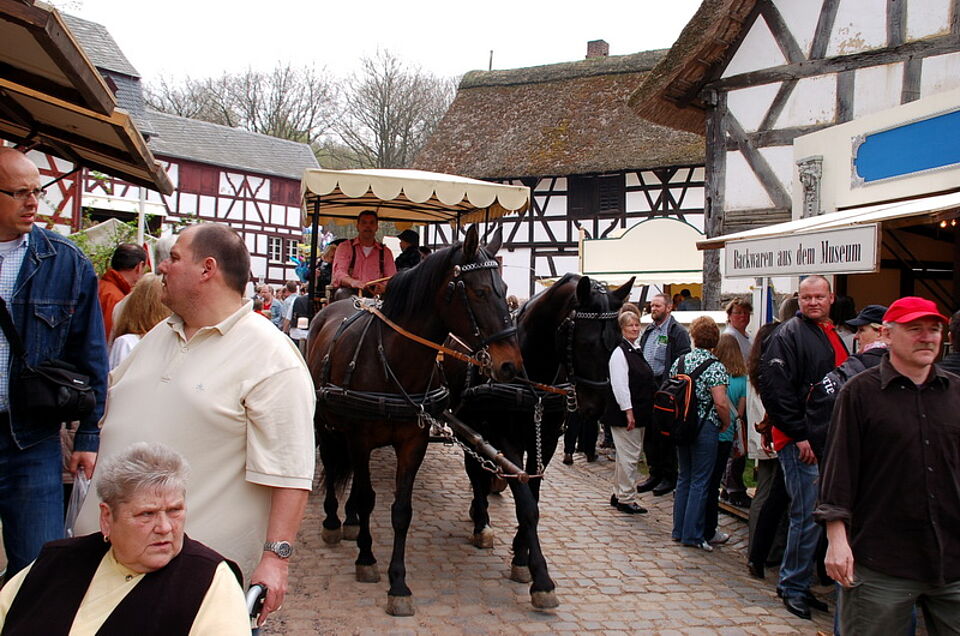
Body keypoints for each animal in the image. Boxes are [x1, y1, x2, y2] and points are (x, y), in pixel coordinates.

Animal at [306, 225, 523, 617]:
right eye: (480, 292)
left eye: (504, 289)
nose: (510, 365)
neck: (393, 360)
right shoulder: (360, 438)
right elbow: (367, 496)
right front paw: (366, 558)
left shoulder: (413, 442)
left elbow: (400, 510)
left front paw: (398, 583)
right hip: (325, 421)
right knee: (331, 463)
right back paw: (333, 520)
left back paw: (349, 520)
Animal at [448, 273, 634, 610]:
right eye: (584, 343)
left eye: (617, 344)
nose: (596, 408)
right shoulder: (506, 439)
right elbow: (526, 506)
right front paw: (541, 578)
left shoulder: (545, 442)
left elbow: (532, 498)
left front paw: (521, 555)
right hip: (469, 422)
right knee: (474, 470)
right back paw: (482, 523)